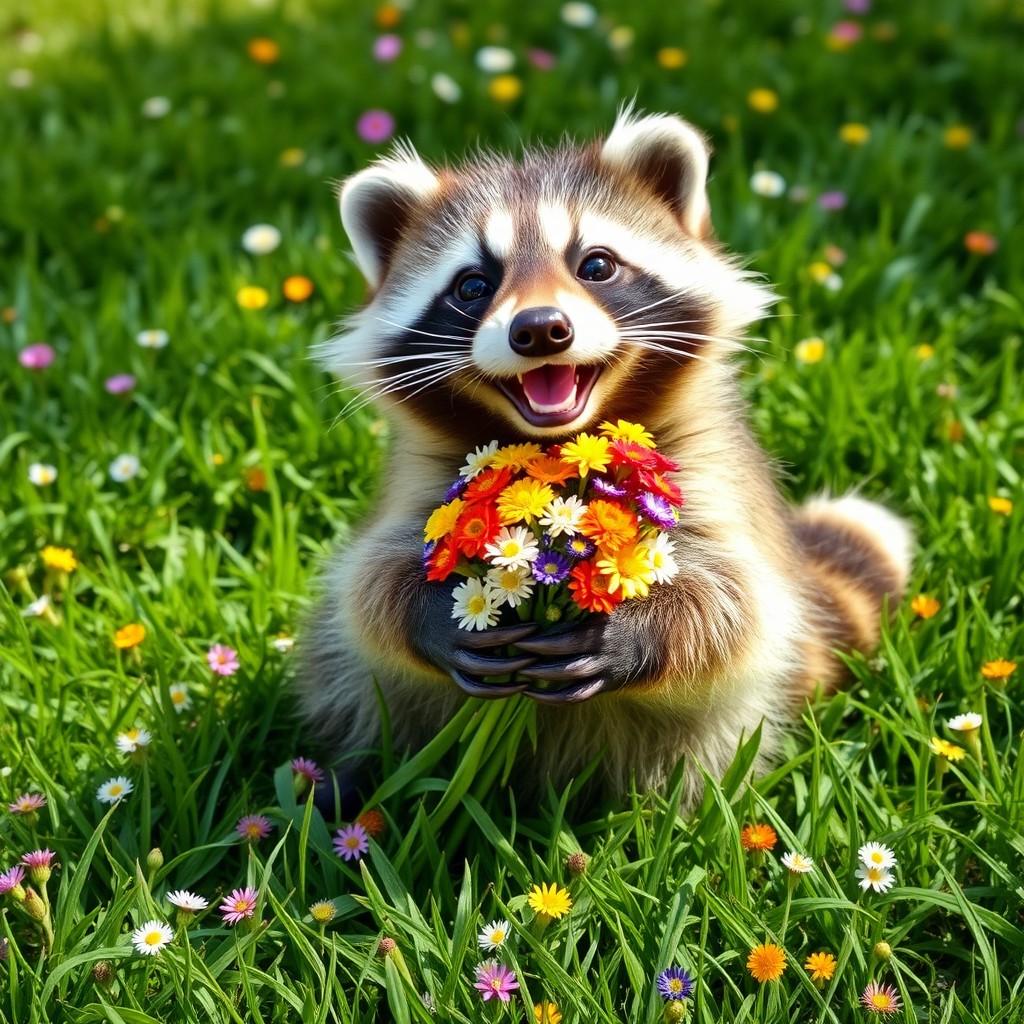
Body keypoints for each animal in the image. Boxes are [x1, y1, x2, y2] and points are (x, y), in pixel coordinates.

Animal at [301, 109, 912, 808]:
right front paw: (429, 615)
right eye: (474, 284)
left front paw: (638, 633)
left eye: (595, 265)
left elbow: (742, 603)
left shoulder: (711, 464)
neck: (559, 442)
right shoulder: (424, 475)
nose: (540, 328)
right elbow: (367, 586)